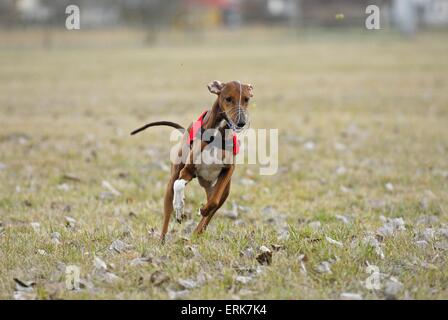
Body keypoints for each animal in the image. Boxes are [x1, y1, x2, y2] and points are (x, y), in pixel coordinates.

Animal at [131, 80, 254, 242]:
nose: (241, 122)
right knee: (168, 209)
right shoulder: (187, 171)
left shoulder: (227, 170)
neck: (217, 134)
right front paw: (179, 206)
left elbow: (213, 203)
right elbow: (178, 185)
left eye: (246, 99)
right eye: (228, 98)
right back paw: (163, 238)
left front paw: (202, 210)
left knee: (212, 208)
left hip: (222, 190)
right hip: (172, 181)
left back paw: (197, 231)